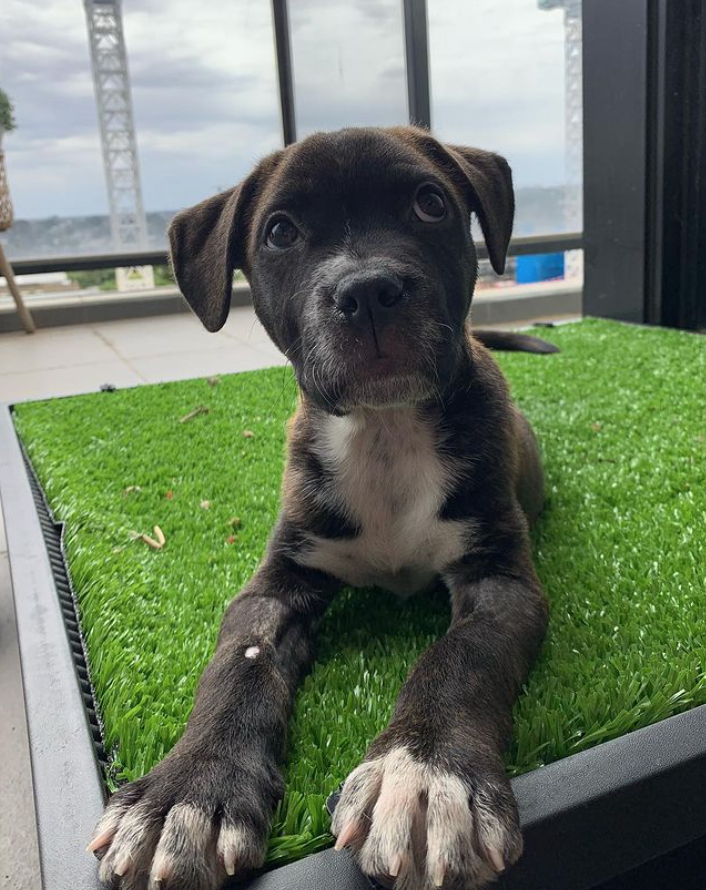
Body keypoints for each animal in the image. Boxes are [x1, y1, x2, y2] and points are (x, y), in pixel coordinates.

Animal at [86, 126, 552, 888]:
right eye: (280, 232)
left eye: (429, 203)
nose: (367, 292)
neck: (385, 432)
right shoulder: (276, 586)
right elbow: (237, 665)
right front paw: (188, 792)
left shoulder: (501, 583)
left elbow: (461, 656)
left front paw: (424, 775)